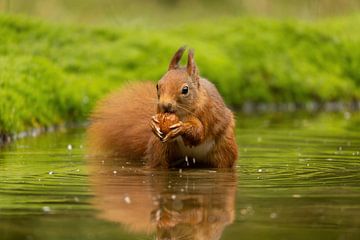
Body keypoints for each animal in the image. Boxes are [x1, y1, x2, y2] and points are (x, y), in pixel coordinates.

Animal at [88, 46, 238, 167]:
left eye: (185, 90)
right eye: (157, 85)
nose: (165, 105)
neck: (180, 114)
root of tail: (192, 158)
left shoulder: (206, 115)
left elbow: (199, 133)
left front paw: (181, 127)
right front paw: (153, 123)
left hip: (225, 149)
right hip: (160, 149)